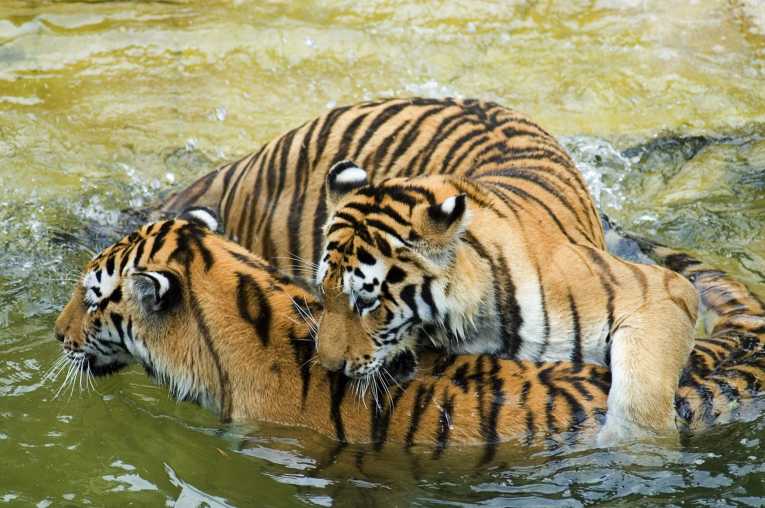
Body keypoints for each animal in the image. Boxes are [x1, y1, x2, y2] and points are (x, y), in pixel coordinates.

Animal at [159, 98, 698, 441]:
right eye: (323, 294)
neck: (474, 322)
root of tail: (252, 158)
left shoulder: (662, 291)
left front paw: (634, 455)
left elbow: (642, 399)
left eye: (367, 301)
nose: (328, 367)